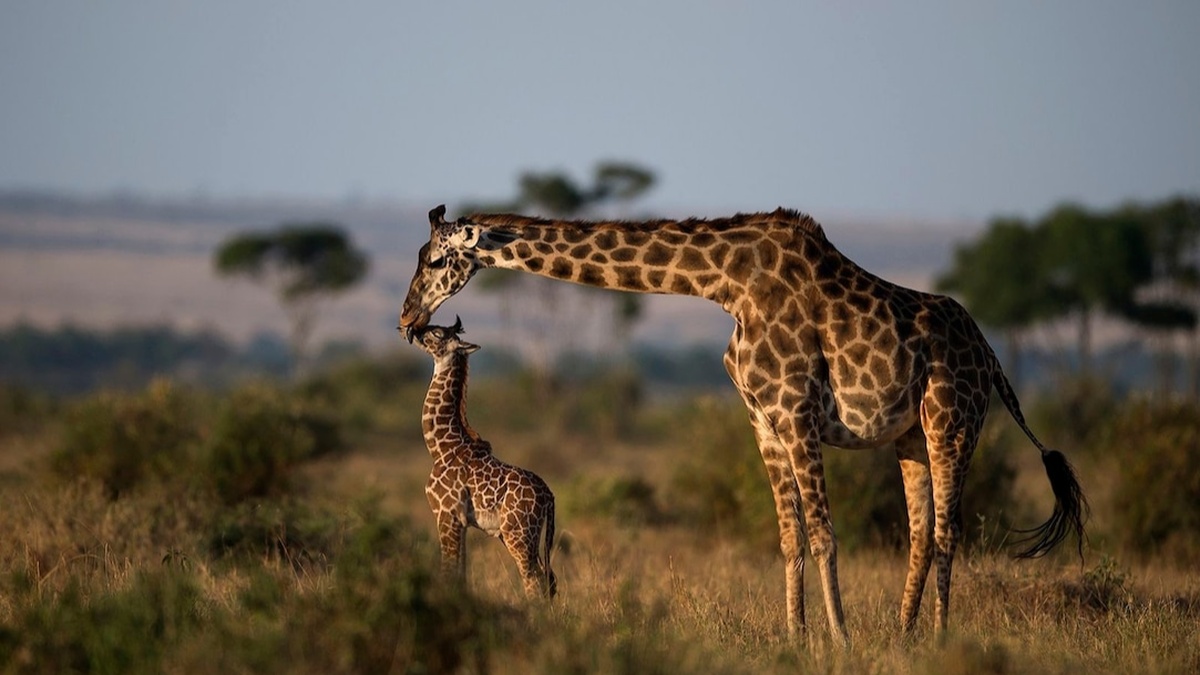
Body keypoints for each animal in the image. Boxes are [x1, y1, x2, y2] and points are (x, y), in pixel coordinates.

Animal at [409, 317, 557, 599]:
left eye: (437, 333)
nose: (415, 331)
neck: (442, 447)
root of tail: (549, 496)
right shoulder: (463, 521)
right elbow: (460, 571)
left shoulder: (446, 513)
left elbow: (449, 569)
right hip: (525, 536)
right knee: (549, 580)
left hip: (518, 534)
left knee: (533, 581)